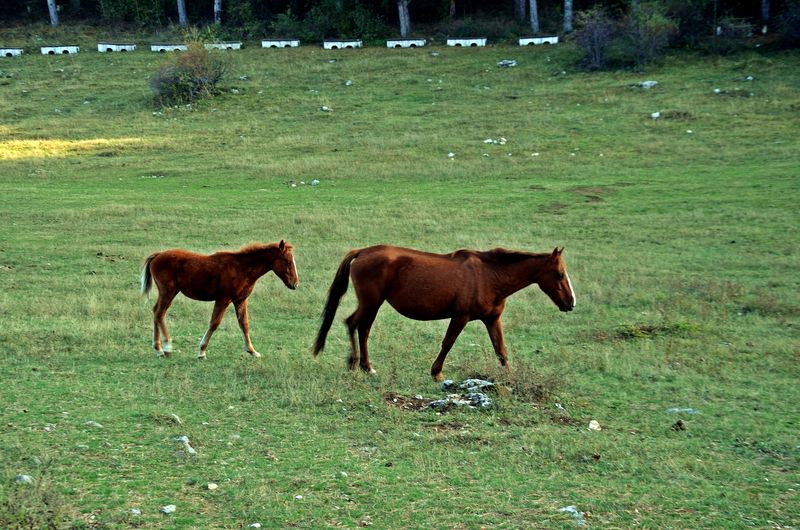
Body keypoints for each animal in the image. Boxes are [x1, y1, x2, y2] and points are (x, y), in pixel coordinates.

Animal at [140, 240, 298, 359]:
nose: (295, 284)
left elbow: (244, 324)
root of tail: (158, 255)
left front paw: (252, 351)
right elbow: (214, 323)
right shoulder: (223, 299)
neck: (241, 268)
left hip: (170, 293)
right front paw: (202, 351)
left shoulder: (240, 300)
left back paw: (158, 348)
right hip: (168, 292)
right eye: (287, 261)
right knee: (159, 313)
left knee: (156, 312)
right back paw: (166, 347)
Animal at [313, 245, 575, 381]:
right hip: (371, 303)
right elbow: (447, 343)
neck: (490, 276)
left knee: (361, 328)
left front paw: (509, 377)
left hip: (372, 304)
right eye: (560, 274)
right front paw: (436, 373)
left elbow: (500, 350)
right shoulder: (460, 316)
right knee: (354, 324)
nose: (571, 302)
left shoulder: (492, 319)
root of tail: (362, 251)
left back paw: (365, 366)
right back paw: (355, 364)